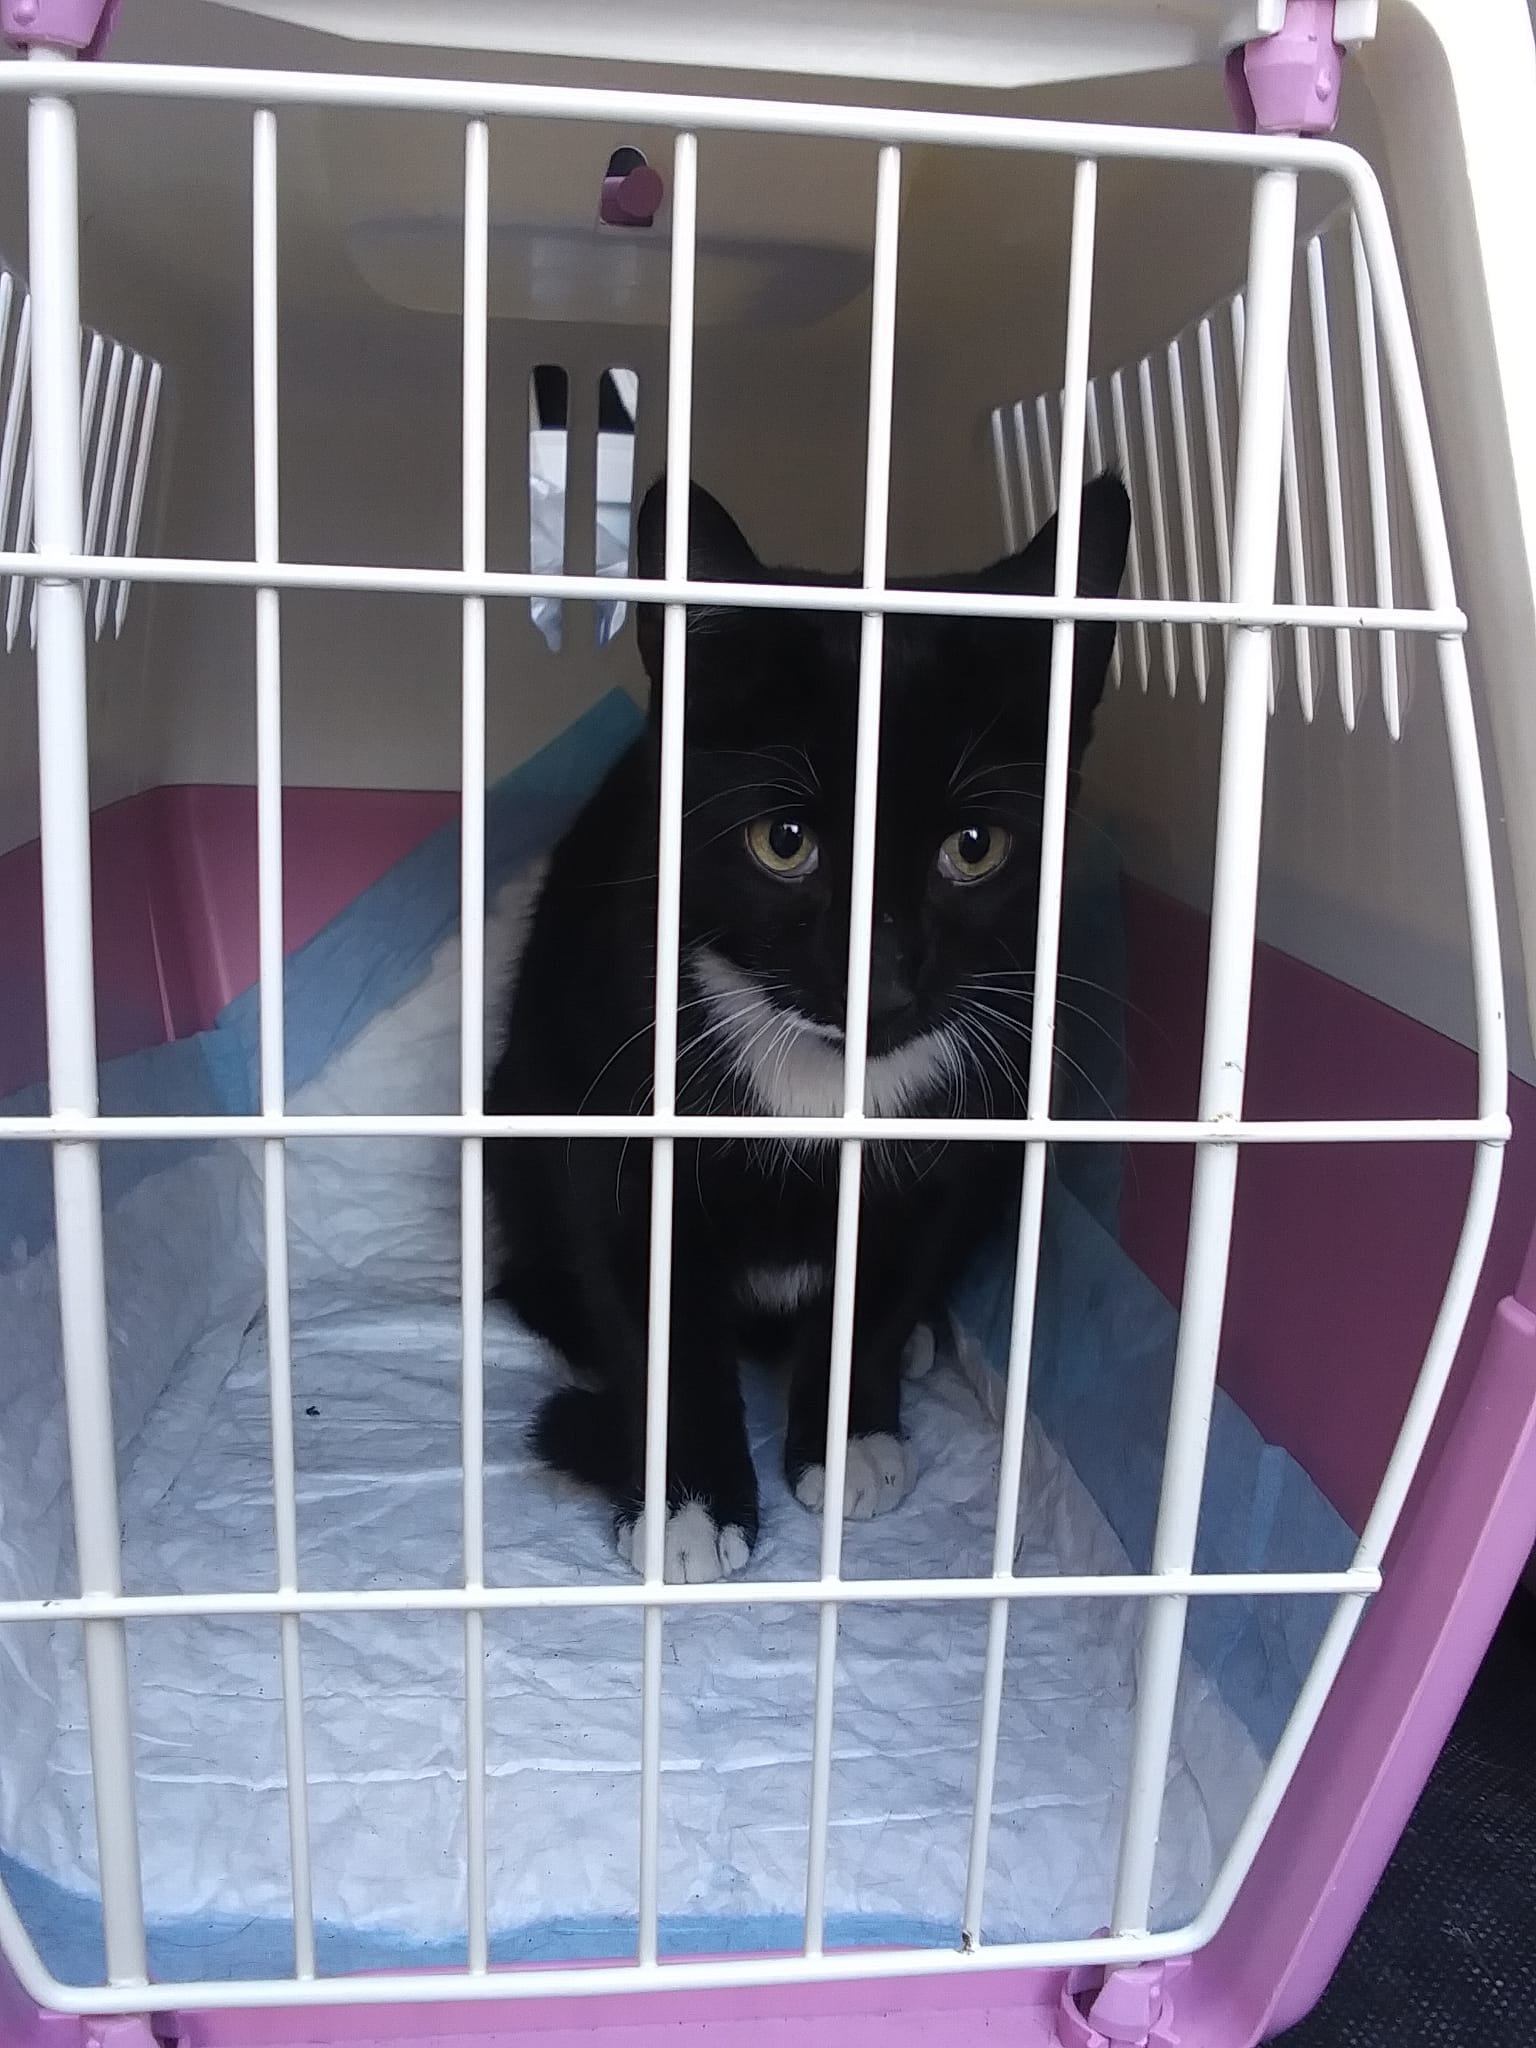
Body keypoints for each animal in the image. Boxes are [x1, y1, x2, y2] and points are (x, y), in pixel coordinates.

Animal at [485, 472, 1131, 1582]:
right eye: (783, 842)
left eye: (976, 846)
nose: (884, 981)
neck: (829, 1083)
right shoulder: (609, 1129)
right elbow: (656, 1321)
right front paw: (690, 1503)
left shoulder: (956, 1141)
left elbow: (882, 1282)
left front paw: (851, 1434)